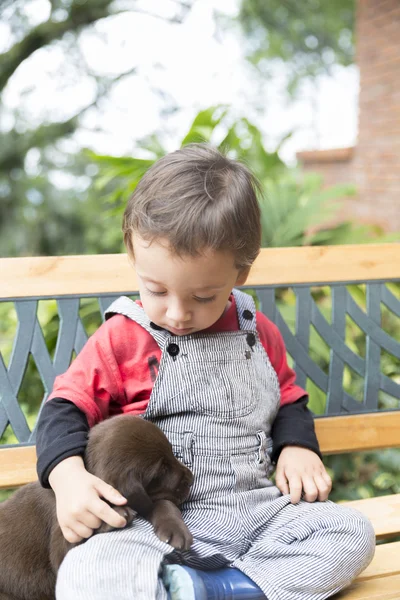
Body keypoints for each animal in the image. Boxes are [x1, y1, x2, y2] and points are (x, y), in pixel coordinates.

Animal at [0, 414, 194, 600]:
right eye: (162, 470)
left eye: (171, 452)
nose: (191, 479)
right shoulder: (62, 543)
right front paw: (114, 515)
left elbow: (161, 503)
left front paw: (175, 528)